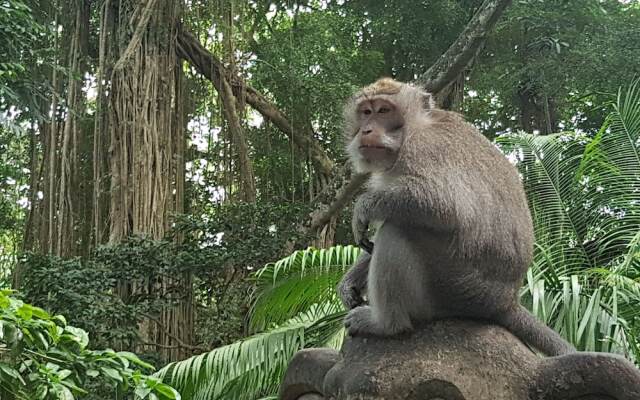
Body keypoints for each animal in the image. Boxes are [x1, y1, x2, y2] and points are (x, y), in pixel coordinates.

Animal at [340, 77, 576, 356]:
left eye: (384, 110)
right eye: (366, 112)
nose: (366, 130)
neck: (413, 127)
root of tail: (506, 301)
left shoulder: (425, 147)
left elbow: (446, 206)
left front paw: (363, 207)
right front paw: (349, 282)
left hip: (455, 288)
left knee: (398, 229)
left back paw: (387, 324)